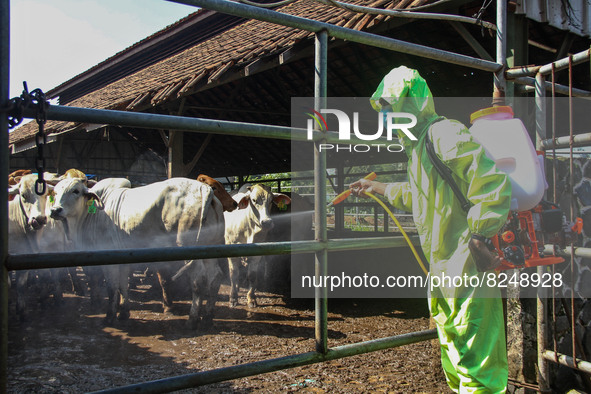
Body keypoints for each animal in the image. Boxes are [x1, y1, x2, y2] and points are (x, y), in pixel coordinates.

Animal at [49, 177, 225, 328]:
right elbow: (123, 285)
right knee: (215, 277)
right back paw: (207, 317)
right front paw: (123, 312)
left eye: (76, 191)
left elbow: (112, 287)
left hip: (188, 248)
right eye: (55, 192)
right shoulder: (122, 257)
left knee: (198, 280)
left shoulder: (108, 257)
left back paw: (192, 319)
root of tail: (204, 188)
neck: (90, 216)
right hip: (211, 248)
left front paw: (110, 316)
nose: (55, 210)